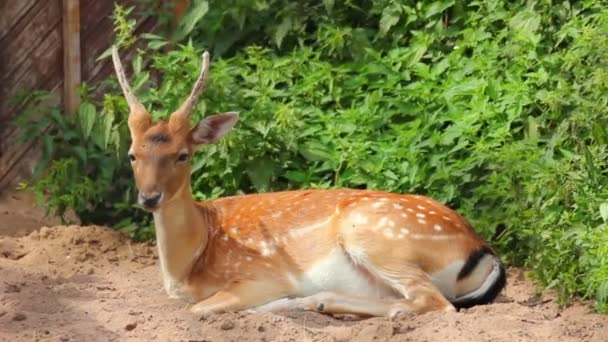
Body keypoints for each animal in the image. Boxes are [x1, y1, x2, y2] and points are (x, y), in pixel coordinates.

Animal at [110, 44, 508, 318]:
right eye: (132, 154)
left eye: (183, 154)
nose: (149, 197)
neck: (188, 265)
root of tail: (482, 250)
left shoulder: (260, 275)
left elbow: (198, 308)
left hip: (377, 235)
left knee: (433, 302)